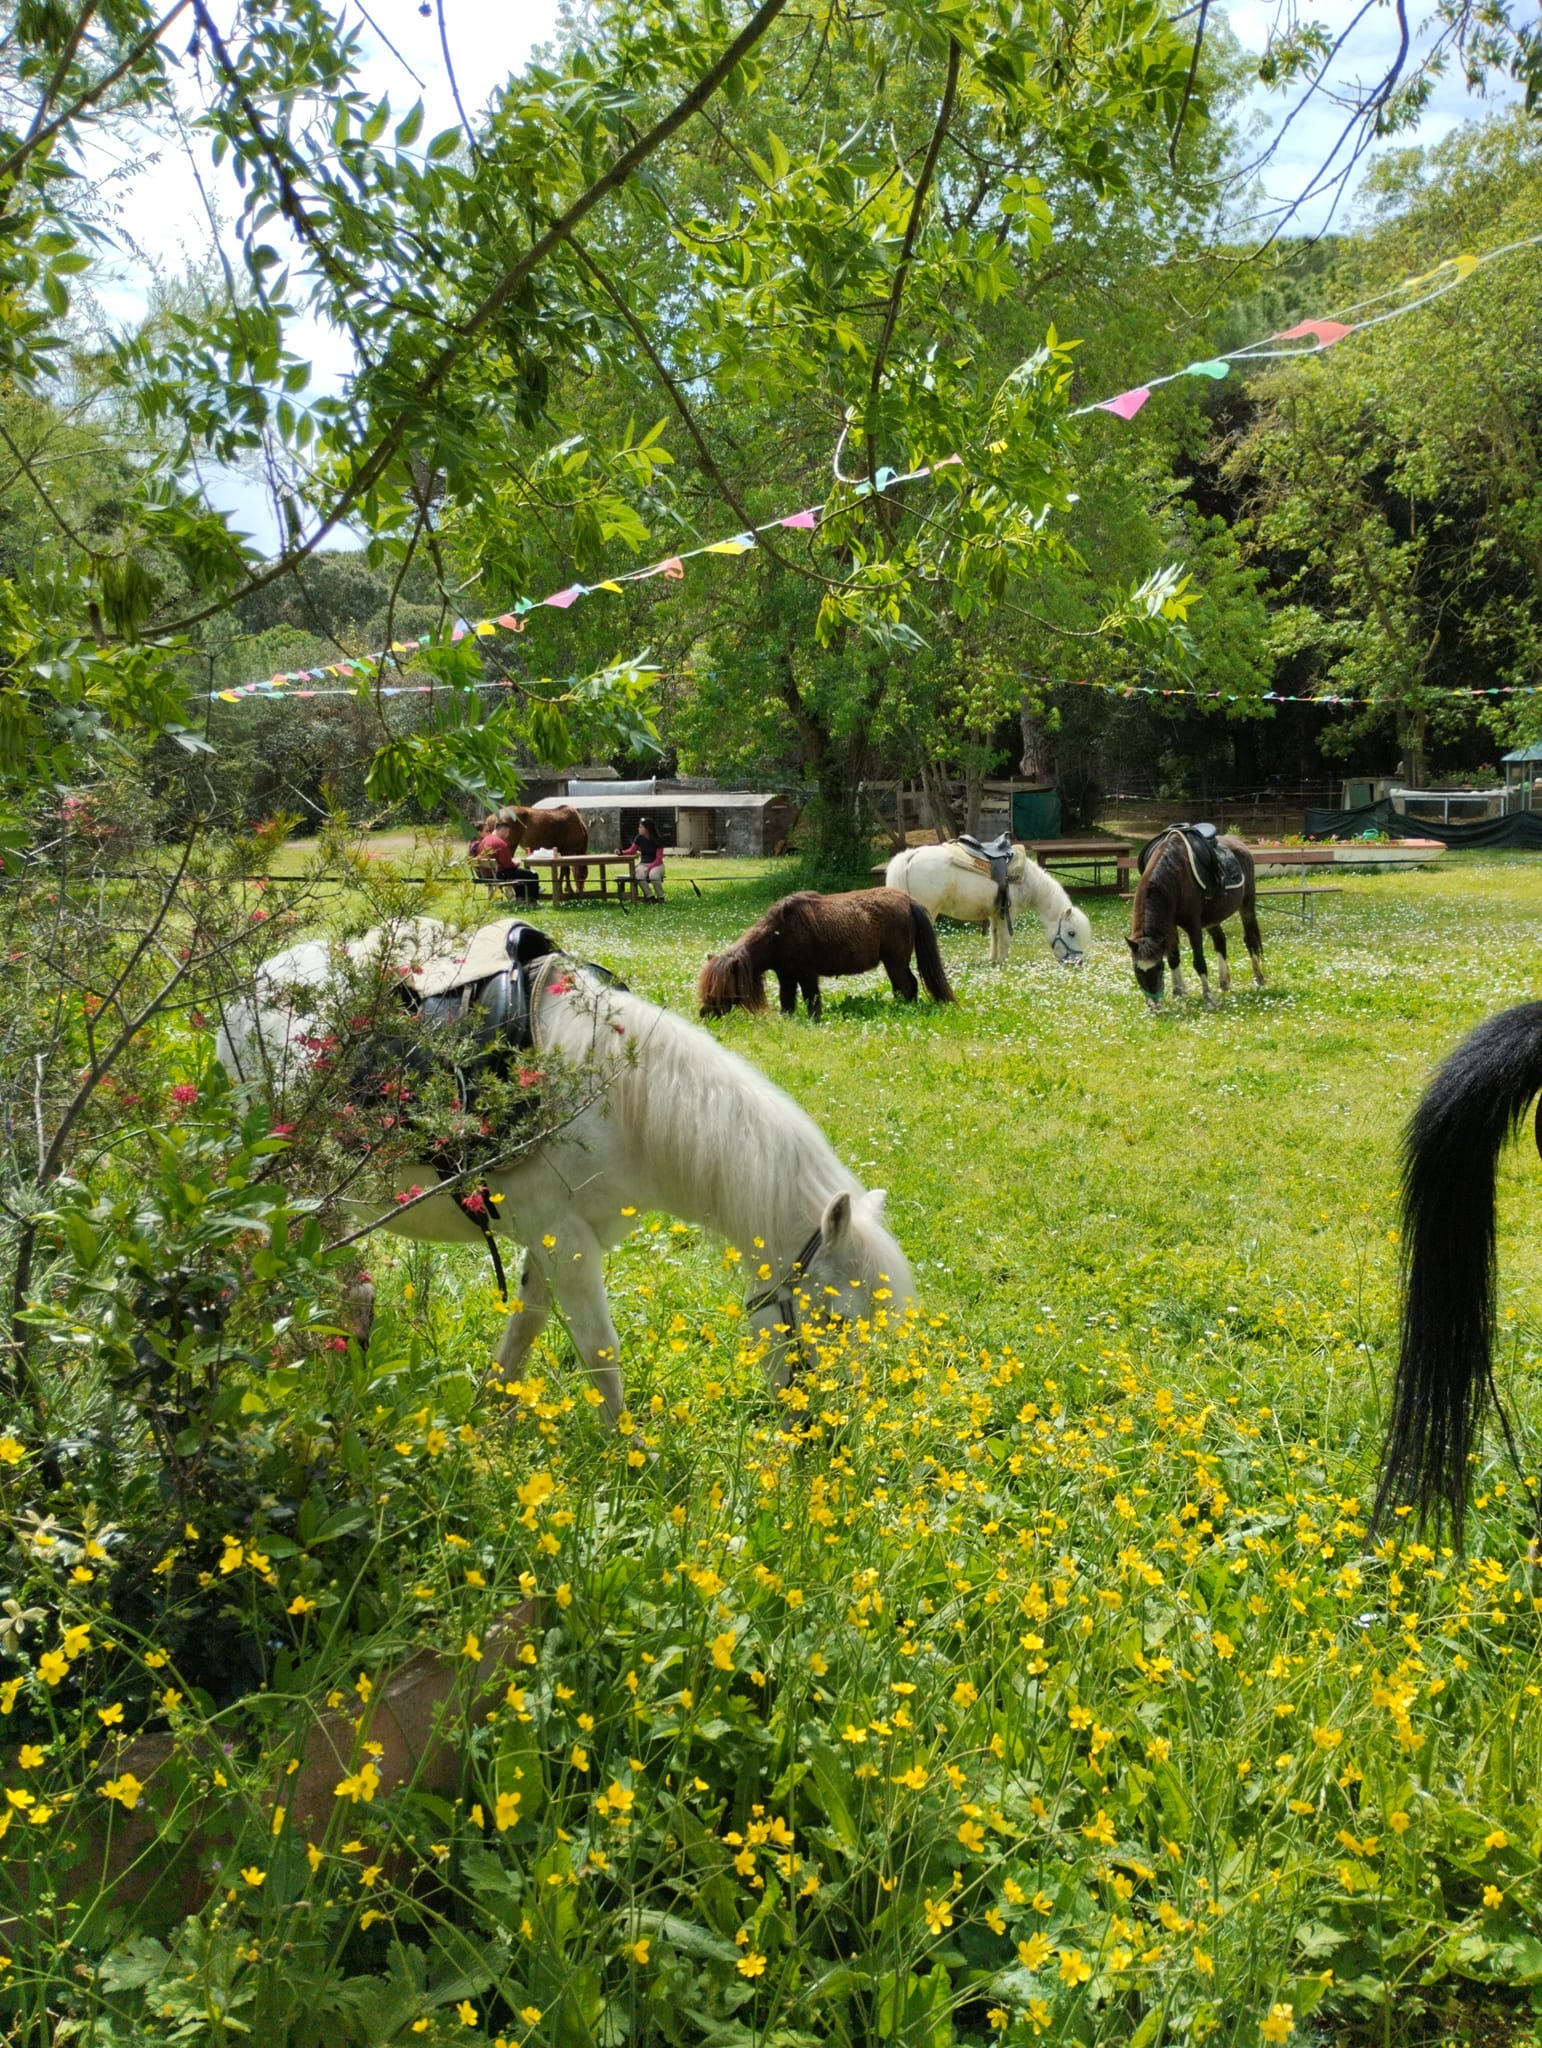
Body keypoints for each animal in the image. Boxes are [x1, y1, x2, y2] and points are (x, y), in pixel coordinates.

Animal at [217, 916, 915, 1424]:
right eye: (835, 1321)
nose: (832, 1434)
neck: (618, 1101)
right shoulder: (567, 1239)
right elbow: (600, 1351)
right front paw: (627, 1456)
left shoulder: (556, 1237)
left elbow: (525, 1327)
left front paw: (489, 1416)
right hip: (293, 1179)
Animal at [696, 888, 955, 1021]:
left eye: (722, 987)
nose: (704, 1014)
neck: (780, 932)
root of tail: (909, 901)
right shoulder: (786, 976)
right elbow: (787, 1001)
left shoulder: (807, 974)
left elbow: (812, 999)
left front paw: (814, 1021)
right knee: (909, 985)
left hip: (895, 962)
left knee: (906, 986)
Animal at [885, 841, 1091, 967]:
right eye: (1071, 933)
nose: (1077, 963)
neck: (1027, 879)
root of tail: (911, 856)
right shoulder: (1009, 913)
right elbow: (1005, 937)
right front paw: (1003, 962)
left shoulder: (995, 913)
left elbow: (995, 936)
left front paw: (993, 960)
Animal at [1126, 829, 1264, 1008]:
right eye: (1137, 970)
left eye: (1159, 967)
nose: (1154, 1005)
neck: (1175, 876)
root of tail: (1241, 844)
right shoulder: (1170, 927)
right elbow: (1173, 957)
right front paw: (1178, 993)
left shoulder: (1193, 926)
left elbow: (1199, 961)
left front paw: (1208, 998)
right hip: (1212, 918)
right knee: (1220, 940)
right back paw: (1224, 981)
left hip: (1247, 906)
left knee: (1250, 940)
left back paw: (1259, 979)